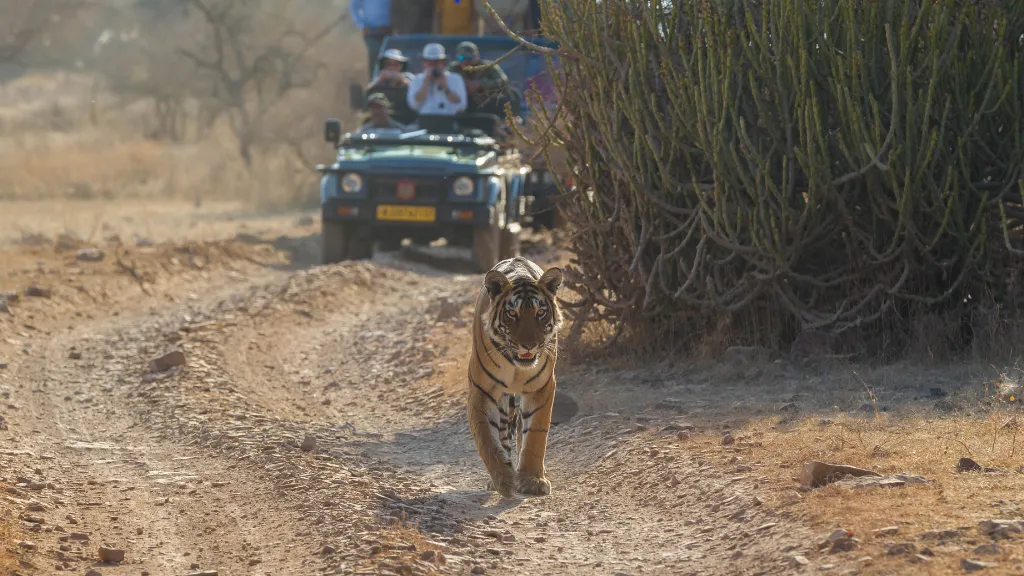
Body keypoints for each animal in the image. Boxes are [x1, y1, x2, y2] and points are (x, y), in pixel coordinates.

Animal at [468, 253, 565, 496]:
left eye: (540, 313)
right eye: (512, 314)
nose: (529, 345)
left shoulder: (542, 388)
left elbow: (535, 436)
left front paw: (532, 479)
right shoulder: (482, 391)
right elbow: (487, 439)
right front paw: (503, 479)